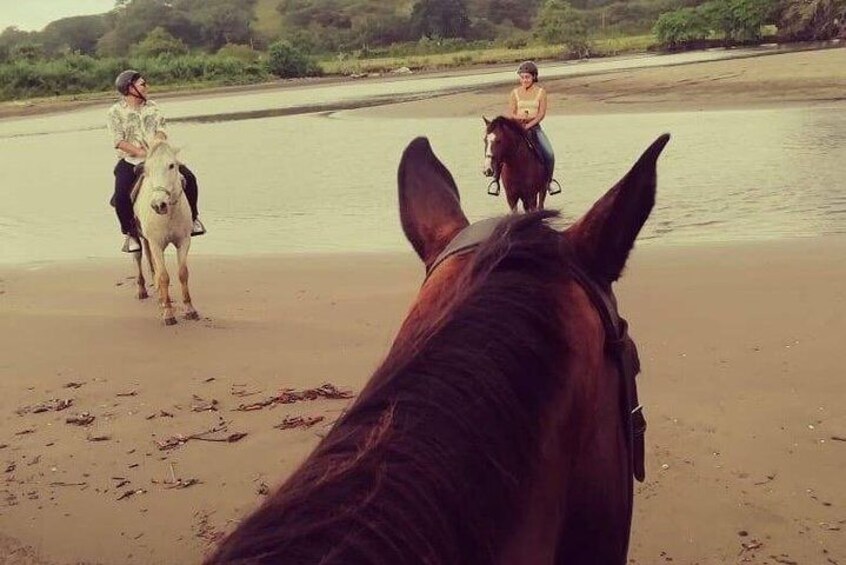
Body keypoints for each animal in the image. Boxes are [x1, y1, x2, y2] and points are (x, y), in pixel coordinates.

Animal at [132, 140, 200, 324]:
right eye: (147, 168)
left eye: (172, 165)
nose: (158, 205)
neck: (168, 214)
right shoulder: (156, 244)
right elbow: (163, 276)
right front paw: (168, 314)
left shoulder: (184, 241)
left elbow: (183, 273)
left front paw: (190, 310)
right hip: (138, 237)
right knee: (138, 256)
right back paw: (142, 291)